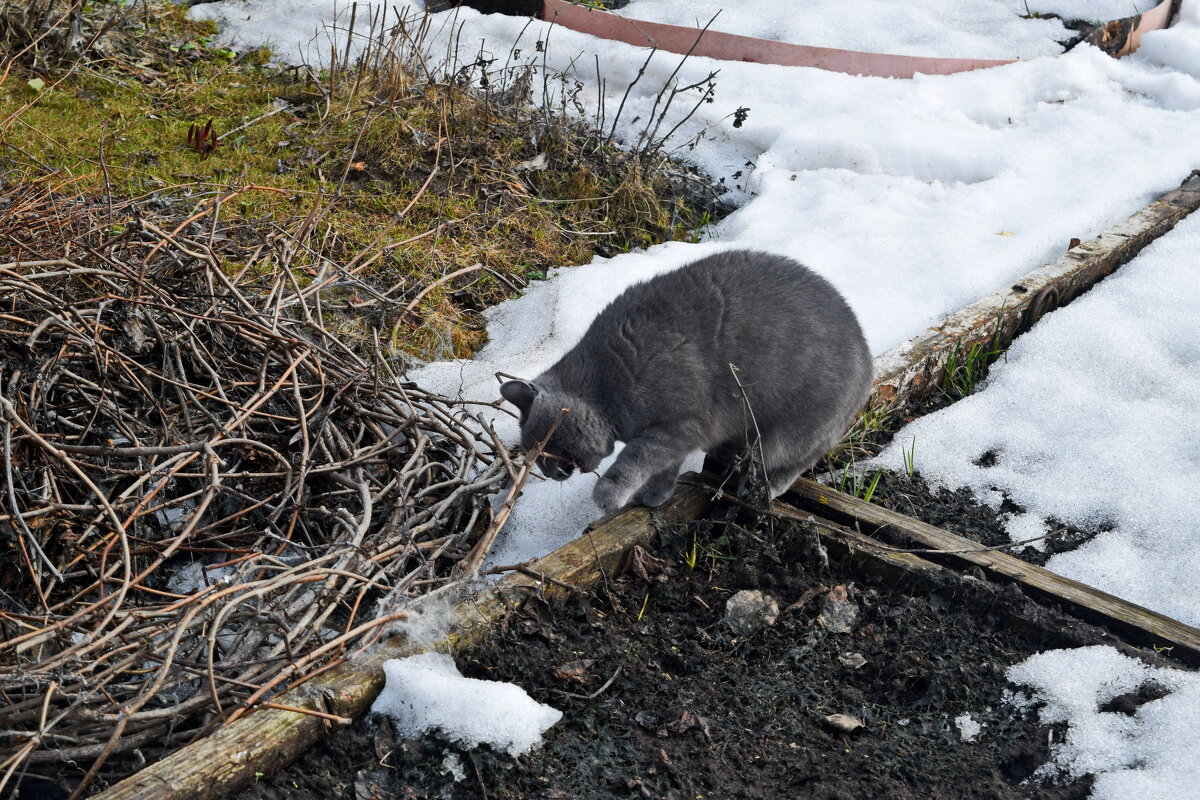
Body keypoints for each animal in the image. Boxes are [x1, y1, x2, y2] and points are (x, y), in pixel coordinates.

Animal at [496, 248, 873, 513]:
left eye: (544, 450)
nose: (547, 472)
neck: (606, 384)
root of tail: (867, 356)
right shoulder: (676, 437)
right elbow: (663, 467)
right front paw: (654, 495)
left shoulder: (680, 424)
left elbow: (634, 458)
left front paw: (609, 494)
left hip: (794, 429)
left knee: (799, 458)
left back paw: (764, 487)